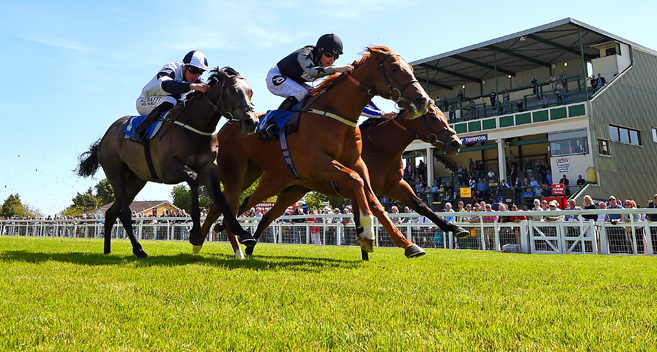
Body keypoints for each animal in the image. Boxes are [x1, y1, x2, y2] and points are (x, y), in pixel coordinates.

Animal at [77, 67, 258, 258]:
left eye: (250, 92)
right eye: (232, 91)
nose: (251, 122)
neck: (193, 125)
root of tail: (106, 136)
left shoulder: (208, 168)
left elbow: (221, 200)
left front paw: (244, 234)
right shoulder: (166, 168)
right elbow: (193, 179)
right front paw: (195, 234)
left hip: (135, 180)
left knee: (112, 213)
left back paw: (107, 251)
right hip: (115, 172)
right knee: (124, 212)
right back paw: (138, 249)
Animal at [200, 46, 428, 258]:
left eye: (410, 69)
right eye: (394, 68)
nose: (423, 100)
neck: (334, 115)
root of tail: (227, 125)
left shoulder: (357, 163)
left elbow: (374, 199)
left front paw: (407, 245)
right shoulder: (316, 164)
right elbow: (355, 180)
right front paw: (367, 234)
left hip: (255, 175)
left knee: (222, 206)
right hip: (238, 172)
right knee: (231, 203)